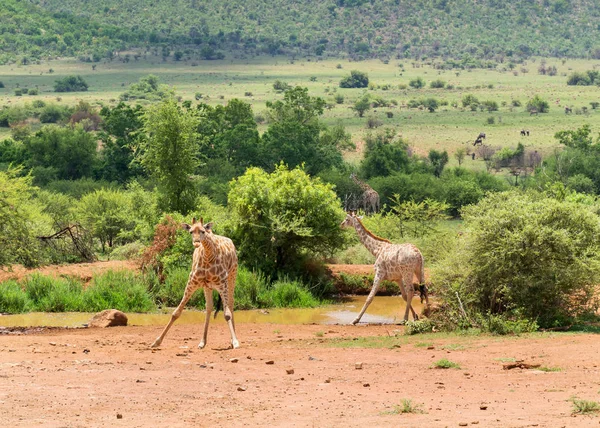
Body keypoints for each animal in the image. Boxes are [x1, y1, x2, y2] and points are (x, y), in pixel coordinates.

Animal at [150, 217, 239, 348]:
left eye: (202, 231)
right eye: (191, 231)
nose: (196, 243)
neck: (207, 256)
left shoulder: (222, 283)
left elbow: (227, 314)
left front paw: (235, 342)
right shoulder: (192, 282)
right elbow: (176, 313)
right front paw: (156, 341)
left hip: (232, 276)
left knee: (231, 304)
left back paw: (233, 339)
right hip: (208, 286)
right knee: (209, 307)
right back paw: (203, 341)